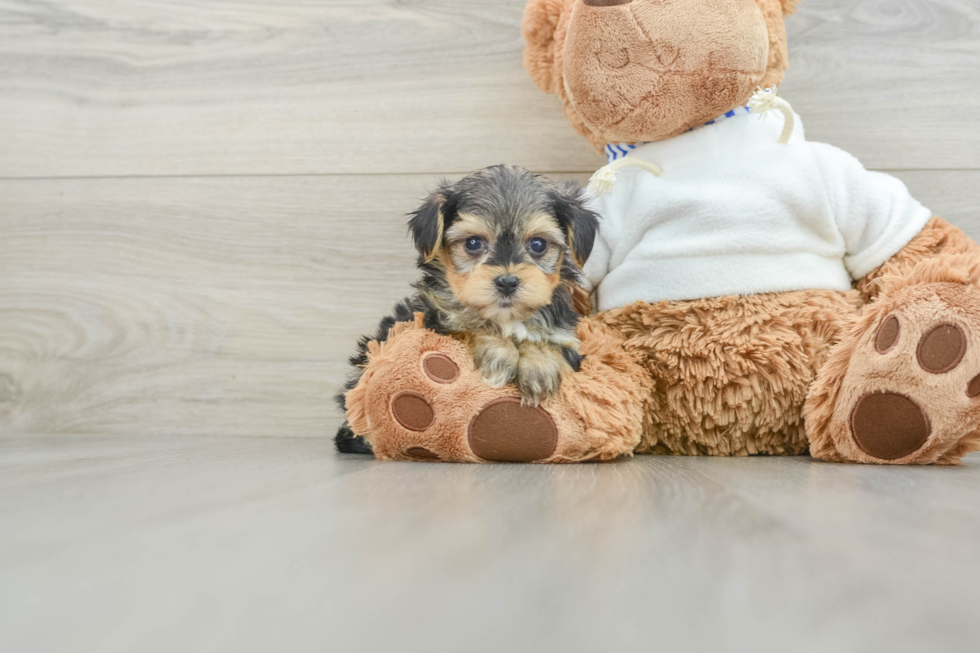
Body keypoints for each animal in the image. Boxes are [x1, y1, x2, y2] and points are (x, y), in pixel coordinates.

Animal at [334, 166, 596, 454]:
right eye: (473, 243)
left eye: (538, 244)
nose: (507, 281)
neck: (506, 318)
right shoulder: (438, 322)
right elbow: (471, 326)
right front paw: (499, 354)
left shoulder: (568, 339)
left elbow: (547, 343)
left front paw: (540, 368)